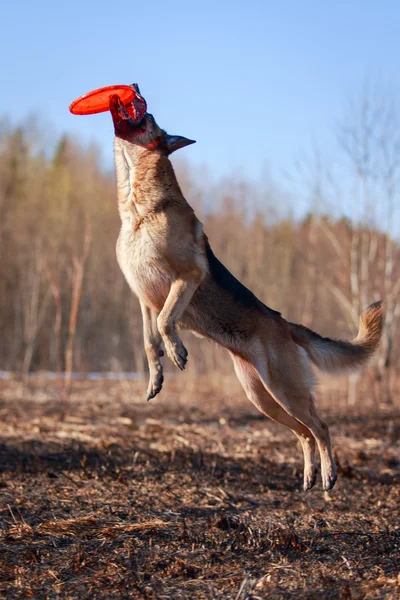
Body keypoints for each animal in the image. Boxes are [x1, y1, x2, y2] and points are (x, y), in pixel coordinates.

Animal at [108, 86, 382, 490]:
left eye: (149, 117)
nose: (136, 89)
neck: (138, 209)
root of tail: (285, 325)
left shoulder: (186, 278)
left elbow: (165, 322)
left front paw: (177, 352)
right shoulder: (143, 298)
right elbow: (148, 340)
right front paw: (156, 377)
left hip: (285, 391)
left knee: (321, 426)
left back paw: (330, 474)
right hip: (262, 398)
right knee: (303, 433)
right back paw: (310, 474)